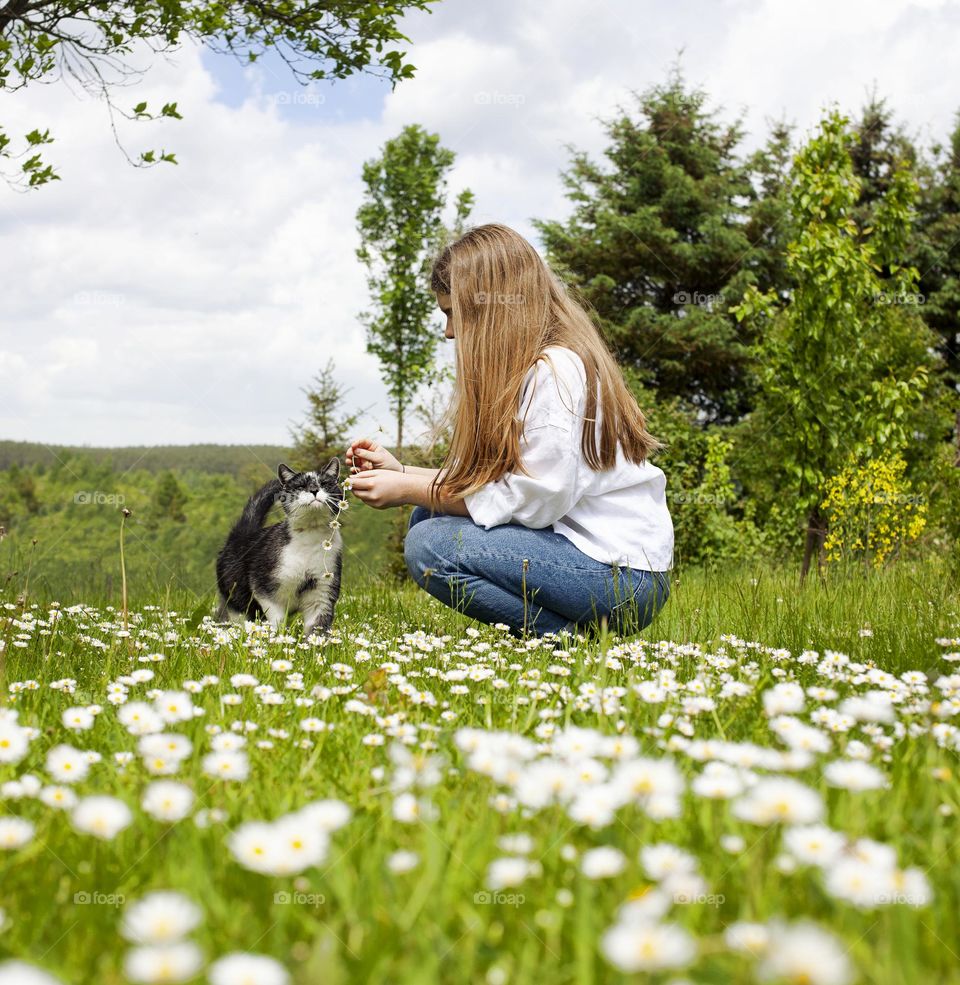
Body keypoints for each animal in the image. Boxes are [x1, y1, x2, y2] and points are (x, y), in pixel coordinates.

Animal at [215, 462, 344, 640]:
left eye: (325, 484)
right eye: (300, 486)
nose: (314, 490)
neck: (310, 542)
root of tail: (242, 533)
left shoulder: (322, 592)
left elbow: (317, 628)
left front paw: (315, 646)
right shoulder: (263, 587)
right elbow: (277, 618)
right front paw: (278, 640)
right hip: (237, 599)